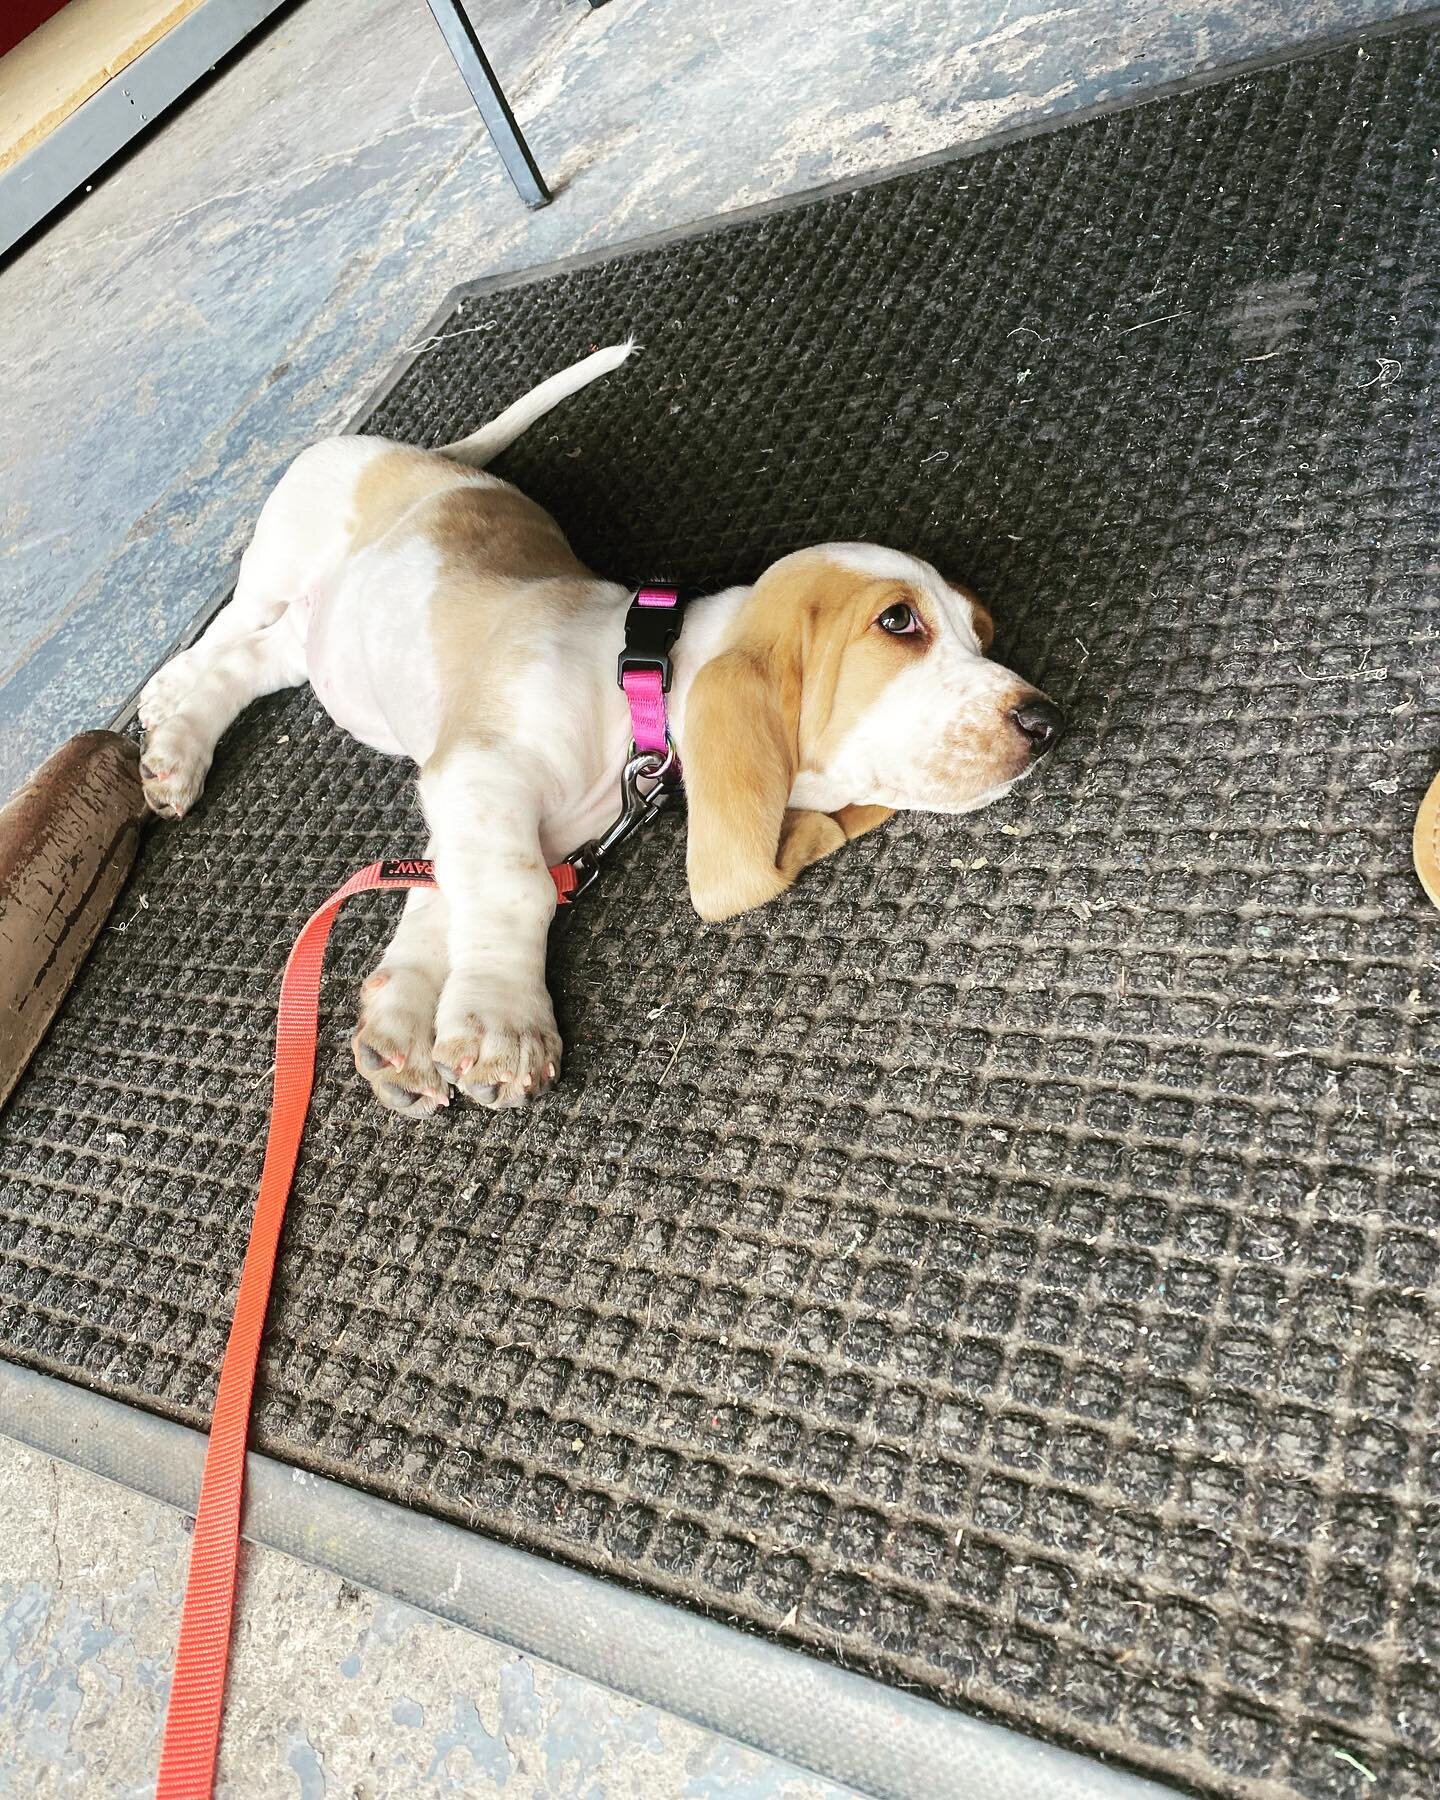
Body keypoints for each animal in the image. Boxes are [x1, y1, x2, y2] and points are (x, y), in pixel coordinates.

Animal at [137, 342, 1058, 1116]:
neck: (639, 683)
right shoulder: (480, 770)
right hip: (278, 561)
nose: (1047, 720)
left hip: (318, 645)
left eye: (982, 632)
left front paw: (403, 1028)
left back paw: (180, 748)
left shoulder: (481, 810)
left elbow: (445, 897)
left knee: (253, 662)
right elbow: (517, 890)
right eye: (899, 623)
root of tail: (434, 458)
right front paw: (505, 1028)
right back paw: (165, 721)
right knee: (224, 637)